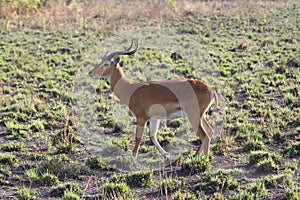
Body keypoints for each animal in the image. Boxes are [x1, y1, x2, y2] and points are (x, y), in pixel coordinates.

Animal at [89, 39, 218, 159]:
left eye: (106, 64)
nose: (91, 72)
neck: (131, 89)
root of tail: (210, 89)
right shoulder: (155, 118)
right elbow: (152, 136)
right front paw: (166, 155)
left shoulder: (141, 118)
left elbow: (138, 138)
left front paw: (133, 159)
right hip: (201, 116)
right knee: (210, 132)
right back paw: (195, 156)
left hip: (194, 116)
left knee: (205, 136)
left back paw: (203, 161)